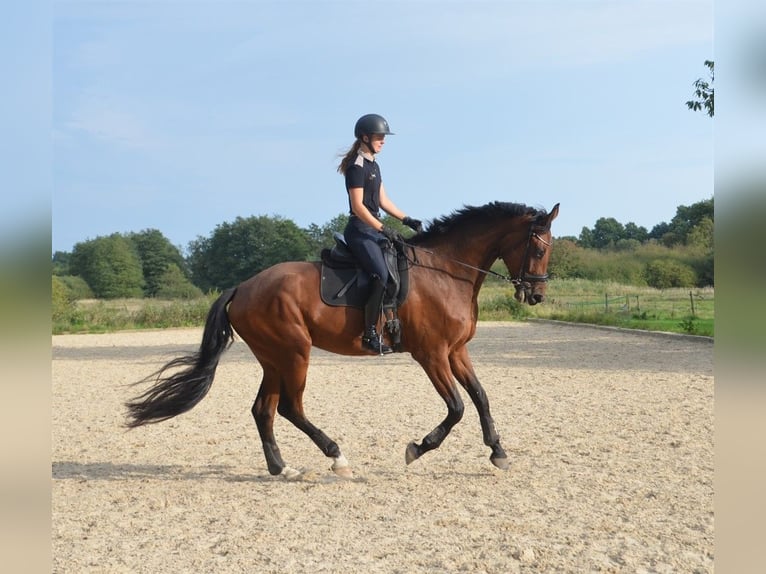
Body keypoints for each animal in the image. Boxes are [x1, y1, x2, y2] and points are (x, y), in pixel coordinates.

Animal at [124, 202, 560, 482]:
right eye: (538, 247)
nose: (537, 295)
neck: (446, 271)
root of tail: (242, 287)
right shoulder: (431, 354)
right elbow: (456, 408)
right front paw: (417, 448)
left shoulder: (456, 351)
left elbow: (481, 397)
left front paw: (498, 453)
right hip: (294, 353)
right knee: (290, 408)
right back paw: (337, 457)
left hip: (273, 358)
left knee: (264, 410)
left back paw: (282, 468)